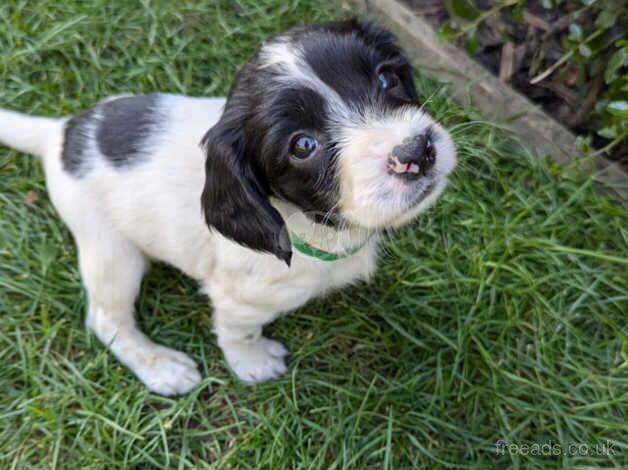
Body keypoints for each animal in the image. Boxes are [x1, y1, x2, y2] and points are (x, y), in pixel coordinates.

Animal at [0, 18, 456, 394]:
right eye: (302, 145)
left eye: (386, 78)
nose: (416, 152)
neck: (315, 227)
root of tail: (60, 134)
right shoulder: (237, 297)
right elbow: (239, 331)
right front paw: (252, 364)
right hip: (111, 252)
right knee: (106, 319)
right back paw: (162, 367)